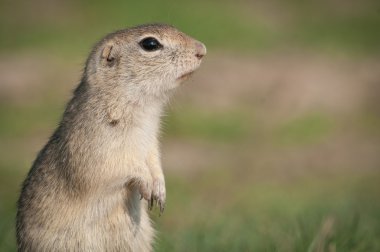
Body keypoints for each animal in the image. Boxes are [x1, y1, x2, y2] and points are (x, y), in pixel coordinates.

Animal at [15, 23, 205, 250]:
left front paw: (159, 189)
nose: (202, 50)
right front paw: (146, 182)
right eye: (150, 44)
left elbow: (154, 162)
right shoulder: (96, 147)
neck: (143, 111)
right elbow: (116, 168)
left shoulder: (150, 143)